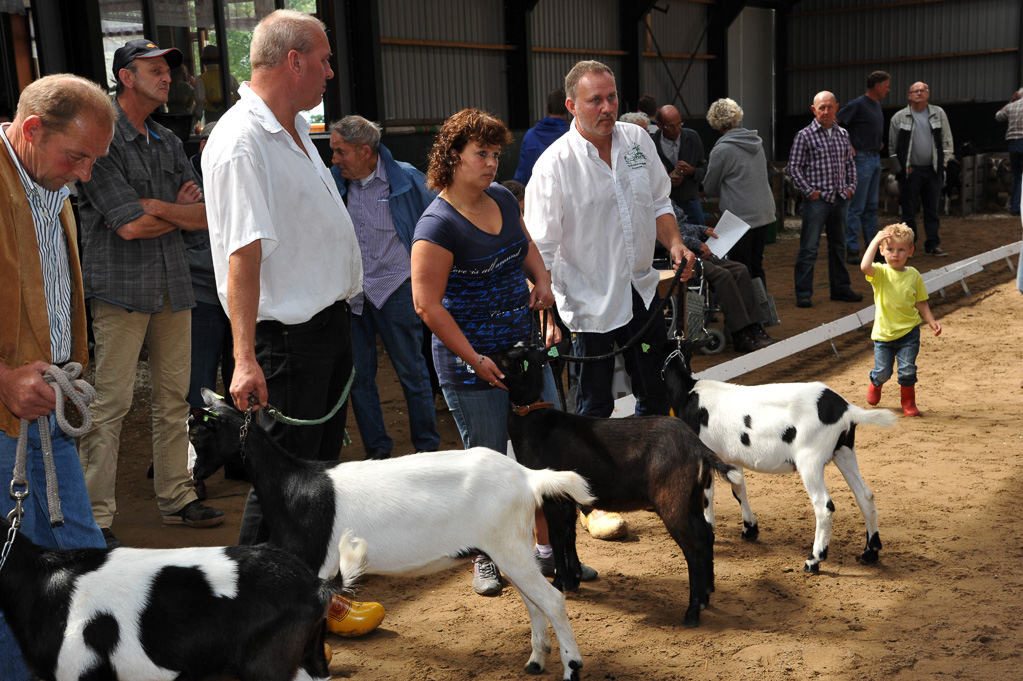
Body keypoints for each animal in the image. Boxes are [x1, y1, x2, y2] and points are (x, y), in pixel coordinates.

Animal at [189, 390, 597, 678]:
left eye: (196, 434)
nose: (193, 478)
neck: (291, 486)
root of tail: (528, 477)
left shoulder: (316, 570)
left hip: (507, 545)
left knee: (552, 600)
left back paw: (571, 667)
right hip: (511, 545)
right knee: (534, 601)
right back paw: (536, 661)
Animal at [491, 345, 740, 625]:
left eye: (510, 358)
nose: (484, 357)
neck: (534, 422)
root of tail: (698, 447)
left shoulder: (551, 496)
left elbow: (557, 536)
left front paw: (560, 582)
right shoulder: (567, 497)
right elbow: (569, 535)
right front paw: (574, 579)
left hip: (673, 502)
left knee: (693, 548)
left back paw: (692, 611)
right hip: (692, 499)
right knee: (706, 536)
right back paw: (707, 593)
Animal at [662, 337, 896, 568]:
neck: (688, 392)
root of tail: (846, 409)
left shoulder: (706, 454)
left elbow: (707, 495)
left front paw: (710, 530)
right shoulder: (730, 457)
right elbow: (739, 489)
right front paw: (750, 528)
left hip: (810, 459)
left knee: (824, 506)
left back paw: (814, 559)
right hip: (844, 451)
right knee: (864, 496)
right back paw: (870, 552)